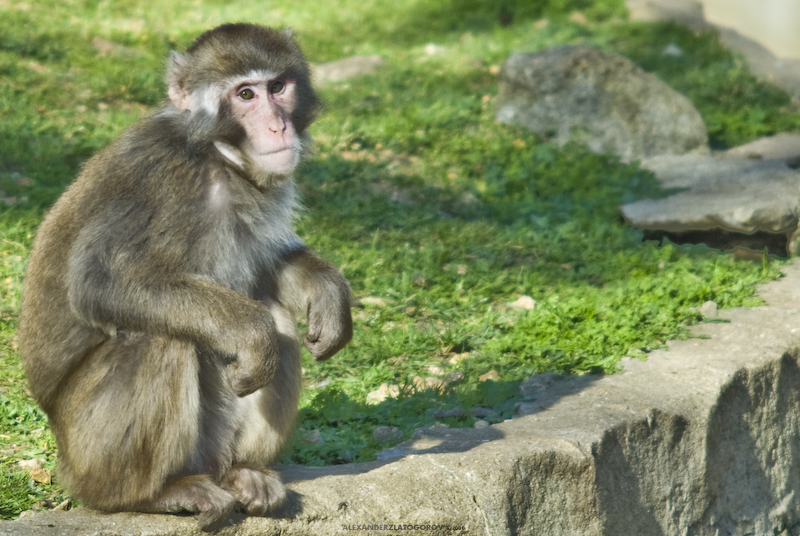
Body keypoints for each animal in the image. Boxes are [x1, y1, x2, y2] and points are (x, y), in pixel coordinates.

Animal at [18, 23, 352, 532]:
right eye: (245, 94)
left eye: (278, 87)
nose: (278, 126)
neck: (217, 160)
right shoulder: (161, 176)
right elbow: (100, 283)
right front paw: (250, 334)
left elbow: (268, 266)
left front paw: (327, 290)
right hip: (87, 455)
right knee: (158, 338)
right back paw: (152, 494)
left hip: (209, 449)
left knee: (275, 315)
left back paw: (243, 473)